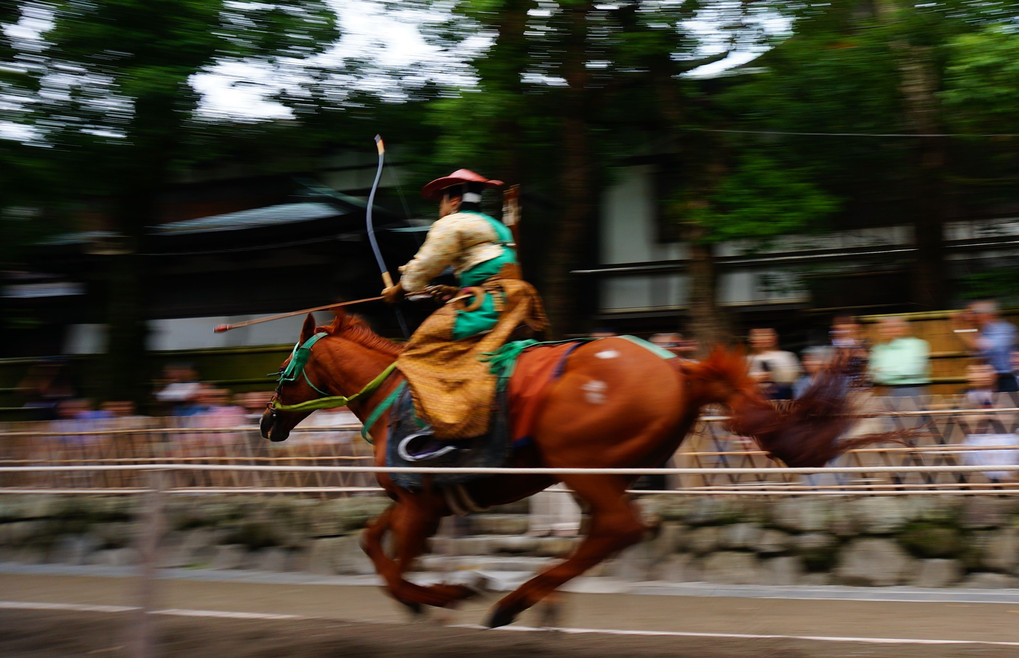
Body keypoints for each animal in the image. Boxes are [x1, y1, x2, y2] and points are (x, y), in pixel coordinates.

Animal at [260, 311, 884, 631]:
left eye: (285, 368)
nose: (266, 422)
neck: (394, 394)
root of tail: (679, 367)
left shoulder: (418, 504)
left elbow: (395, 568)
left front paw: (441, 594)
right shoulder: (418, 503)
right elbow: (371, 544)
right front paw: (435, 594)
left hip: (581, 461)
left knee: (618, 529)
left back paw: (513, 604)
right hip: (610, 469)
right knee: (604, 535)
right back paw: (536, 603)